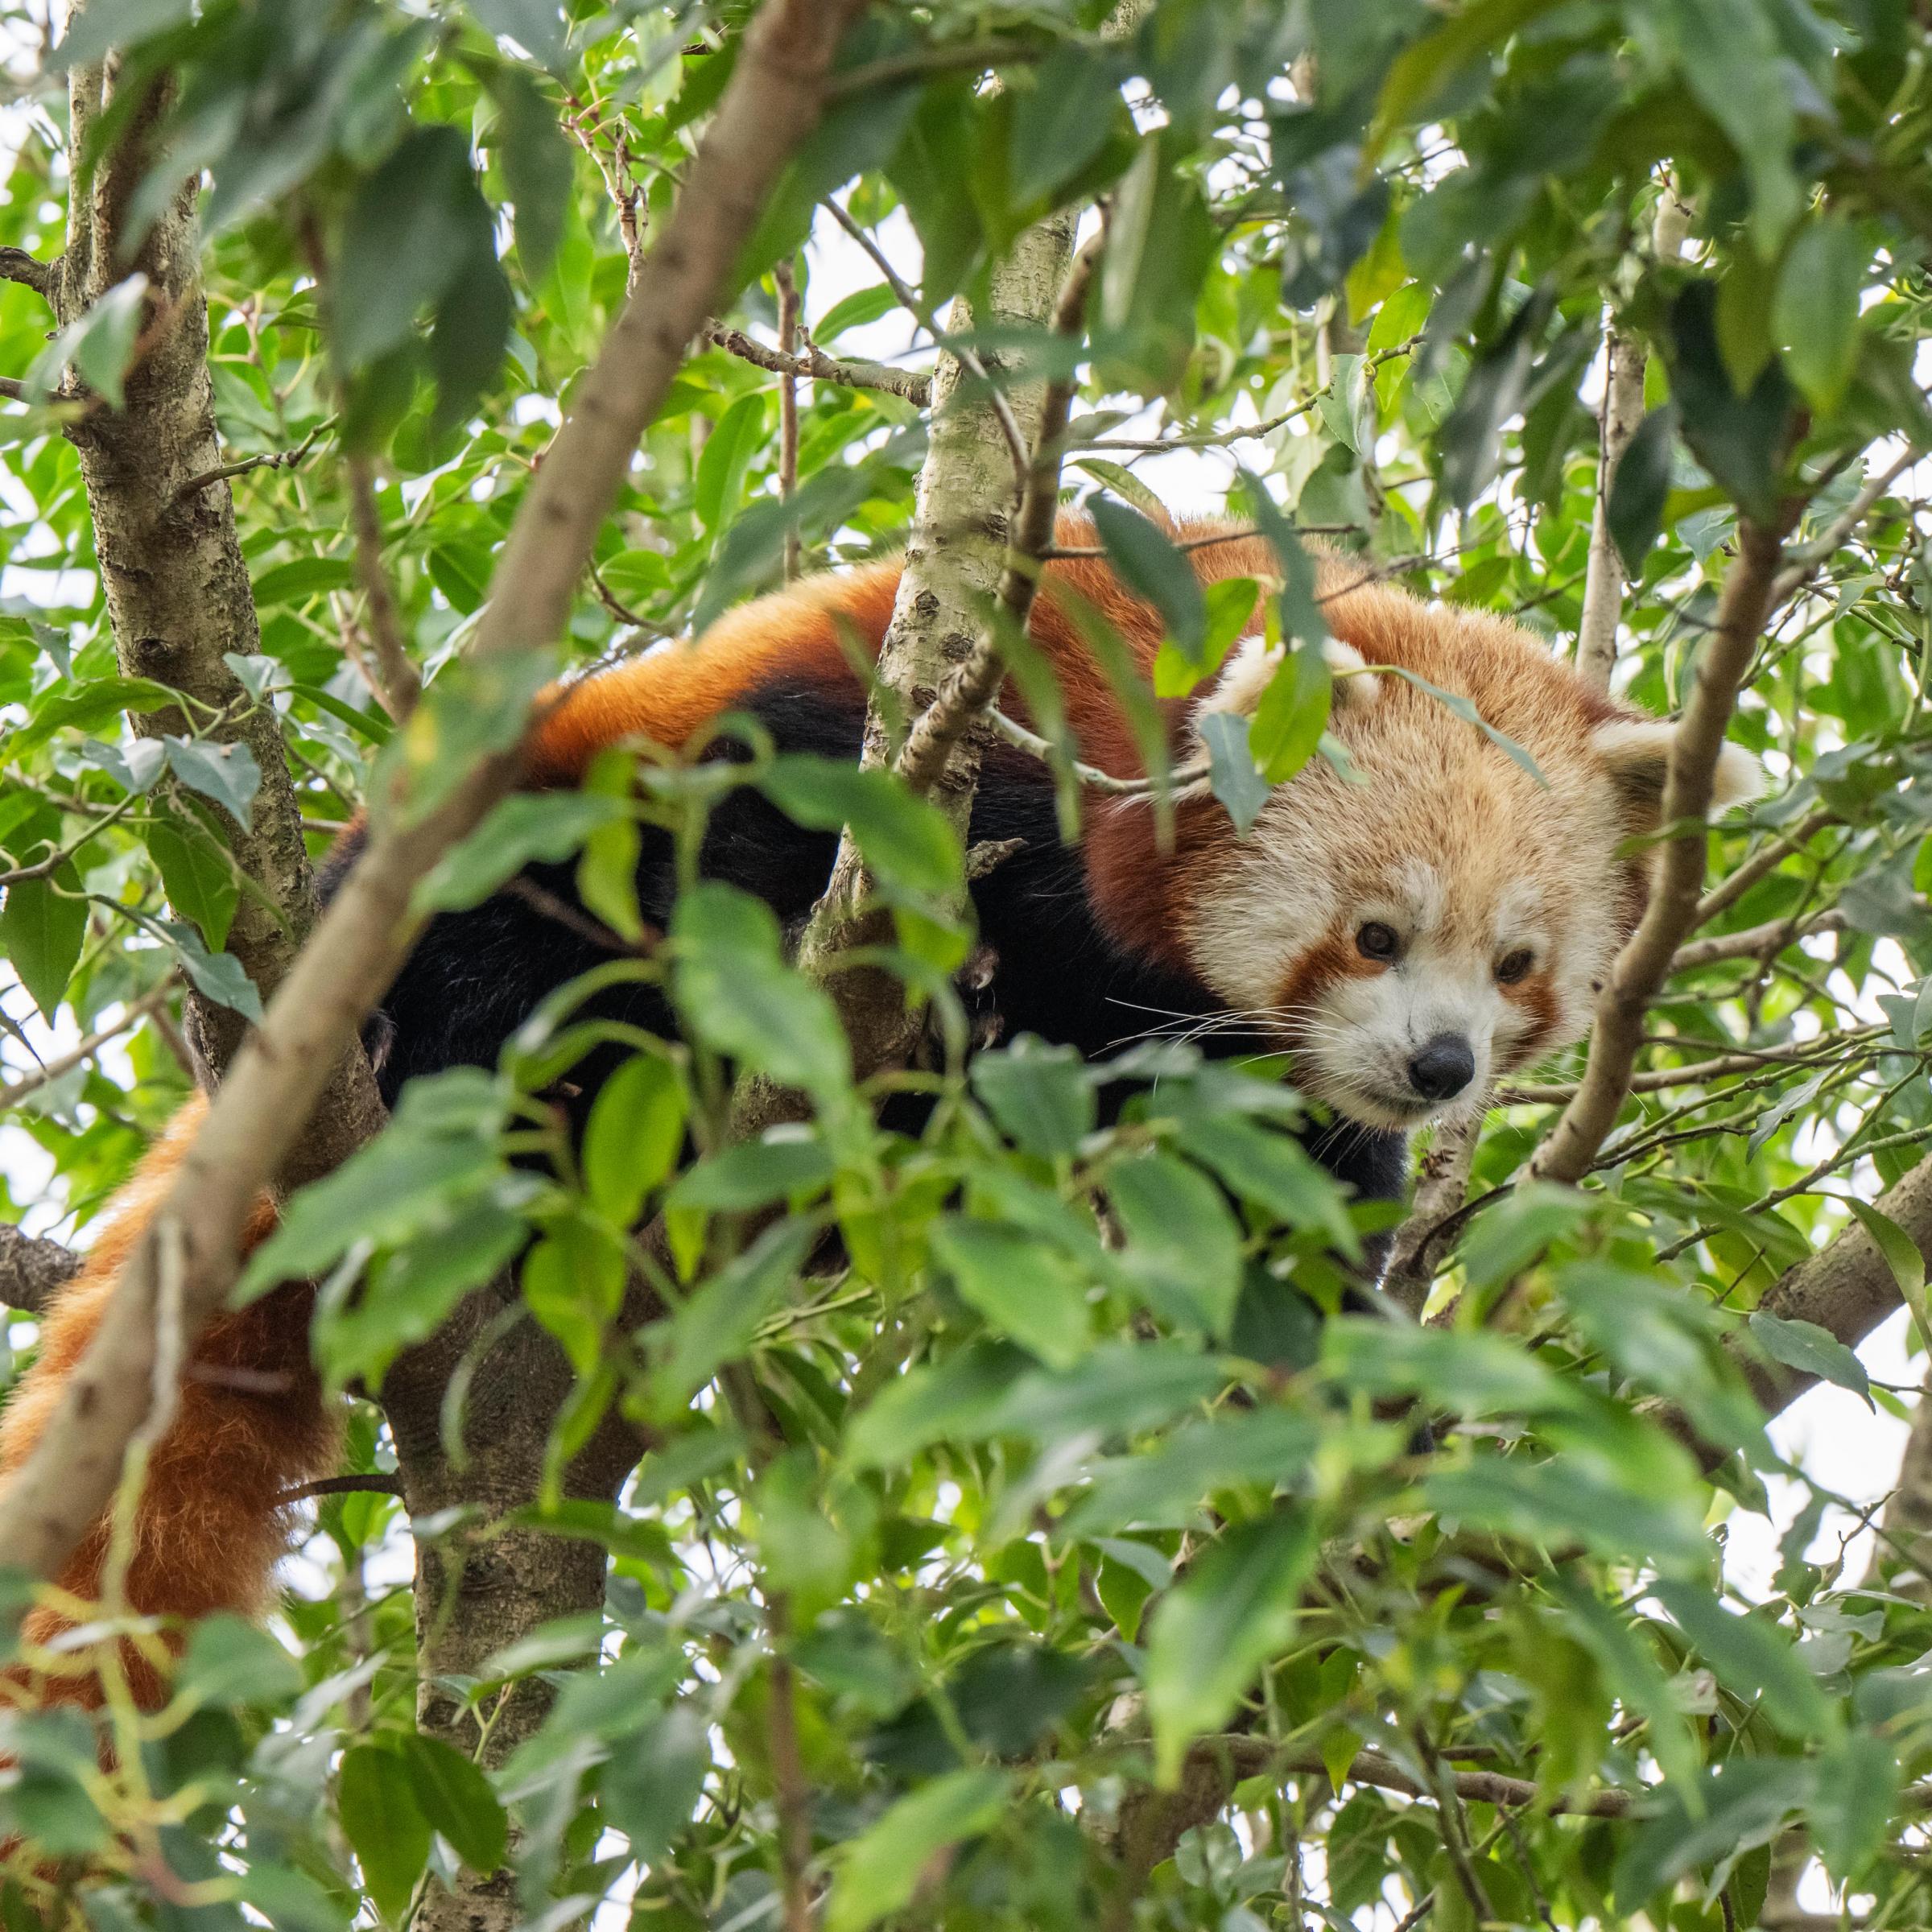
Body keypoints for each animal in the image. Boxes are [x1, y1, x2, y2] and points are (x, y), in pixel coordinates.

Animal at [0, 514, 1761, 1707]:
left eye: (1517, 965)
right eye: (1378, 934)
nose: (1443, 1065)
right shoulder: (932, 725)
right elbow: (746, 849)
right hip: (460, 877)